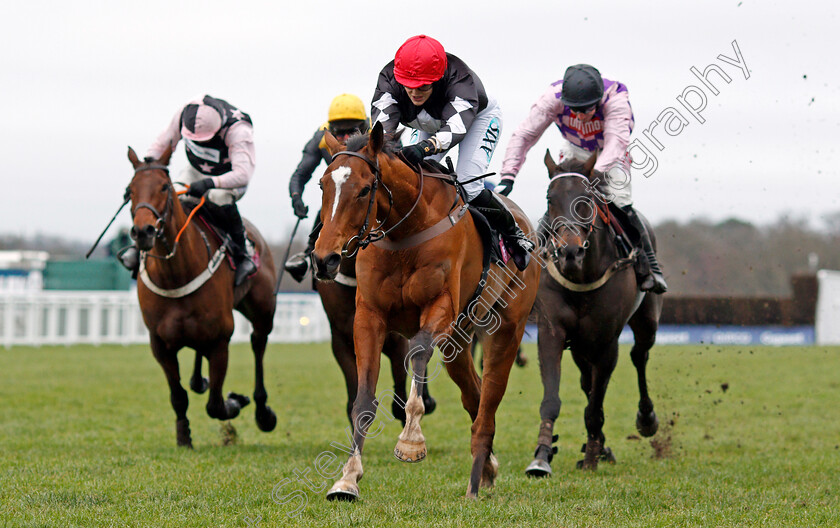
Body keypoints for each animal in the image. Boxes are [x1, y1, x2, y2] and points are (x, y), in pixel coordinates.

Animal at [126, 146, 278, 448]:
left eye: (164, 187)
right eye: (130, 190)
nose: (143, 232)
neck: (176, 273)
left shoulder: (220, 341)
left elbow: (216, 405)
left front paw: (236, 401)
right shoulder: (159, 344)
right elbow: (178, 396)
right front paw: (184, 436)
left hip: (262, 311)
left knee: (258, 344)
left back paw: (262, 411)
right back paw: (200, 381)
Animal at [312, 124, 540, 500]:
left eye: (364, 189)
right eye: (322, 185)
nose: (324, 259)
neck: (406, 232)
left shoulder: (440, 307)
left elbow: (417, 351)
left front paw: (411, 441)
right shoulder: (368, 316)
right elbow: (363, 401)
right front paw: (346, 479)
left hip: (506, 329)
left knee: (489, 402)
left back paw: (474, 483)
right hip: (457, 344)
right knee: (474, 395)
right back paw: (488, 467)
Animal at [524, 151, 664, 476]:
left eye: (586, 199)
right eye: (550, 198)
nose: (569, 252)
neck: (581, 276)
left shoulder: (606, 341)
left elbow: (595, 405)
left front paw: (591, 456)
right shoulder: (552, 331)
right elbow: (553, 398)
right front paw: (542, 456)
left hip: (647, 320)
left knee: (639, 356)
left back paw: (645, 419)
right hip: (580, 344)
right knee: (587, 381)